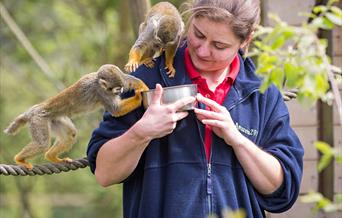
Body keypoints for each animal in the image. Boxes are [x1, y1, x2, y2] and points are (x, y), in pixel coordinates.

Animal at [3, 63, 149, 169]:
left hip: (54, 119)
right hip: (38, 120)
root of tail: (33, 110)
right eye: (117, 89)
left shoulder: (118, 78)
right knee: (42, 144)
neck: (98, 82)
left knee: (70, 134)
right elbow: (116, 110)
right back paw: (20, 159)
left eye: (121, 87)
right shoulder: (101, 92)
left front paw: (142, 86)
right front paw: (138, 97)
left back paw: (51, 157)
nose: (120, 91)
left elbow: (128, 79)